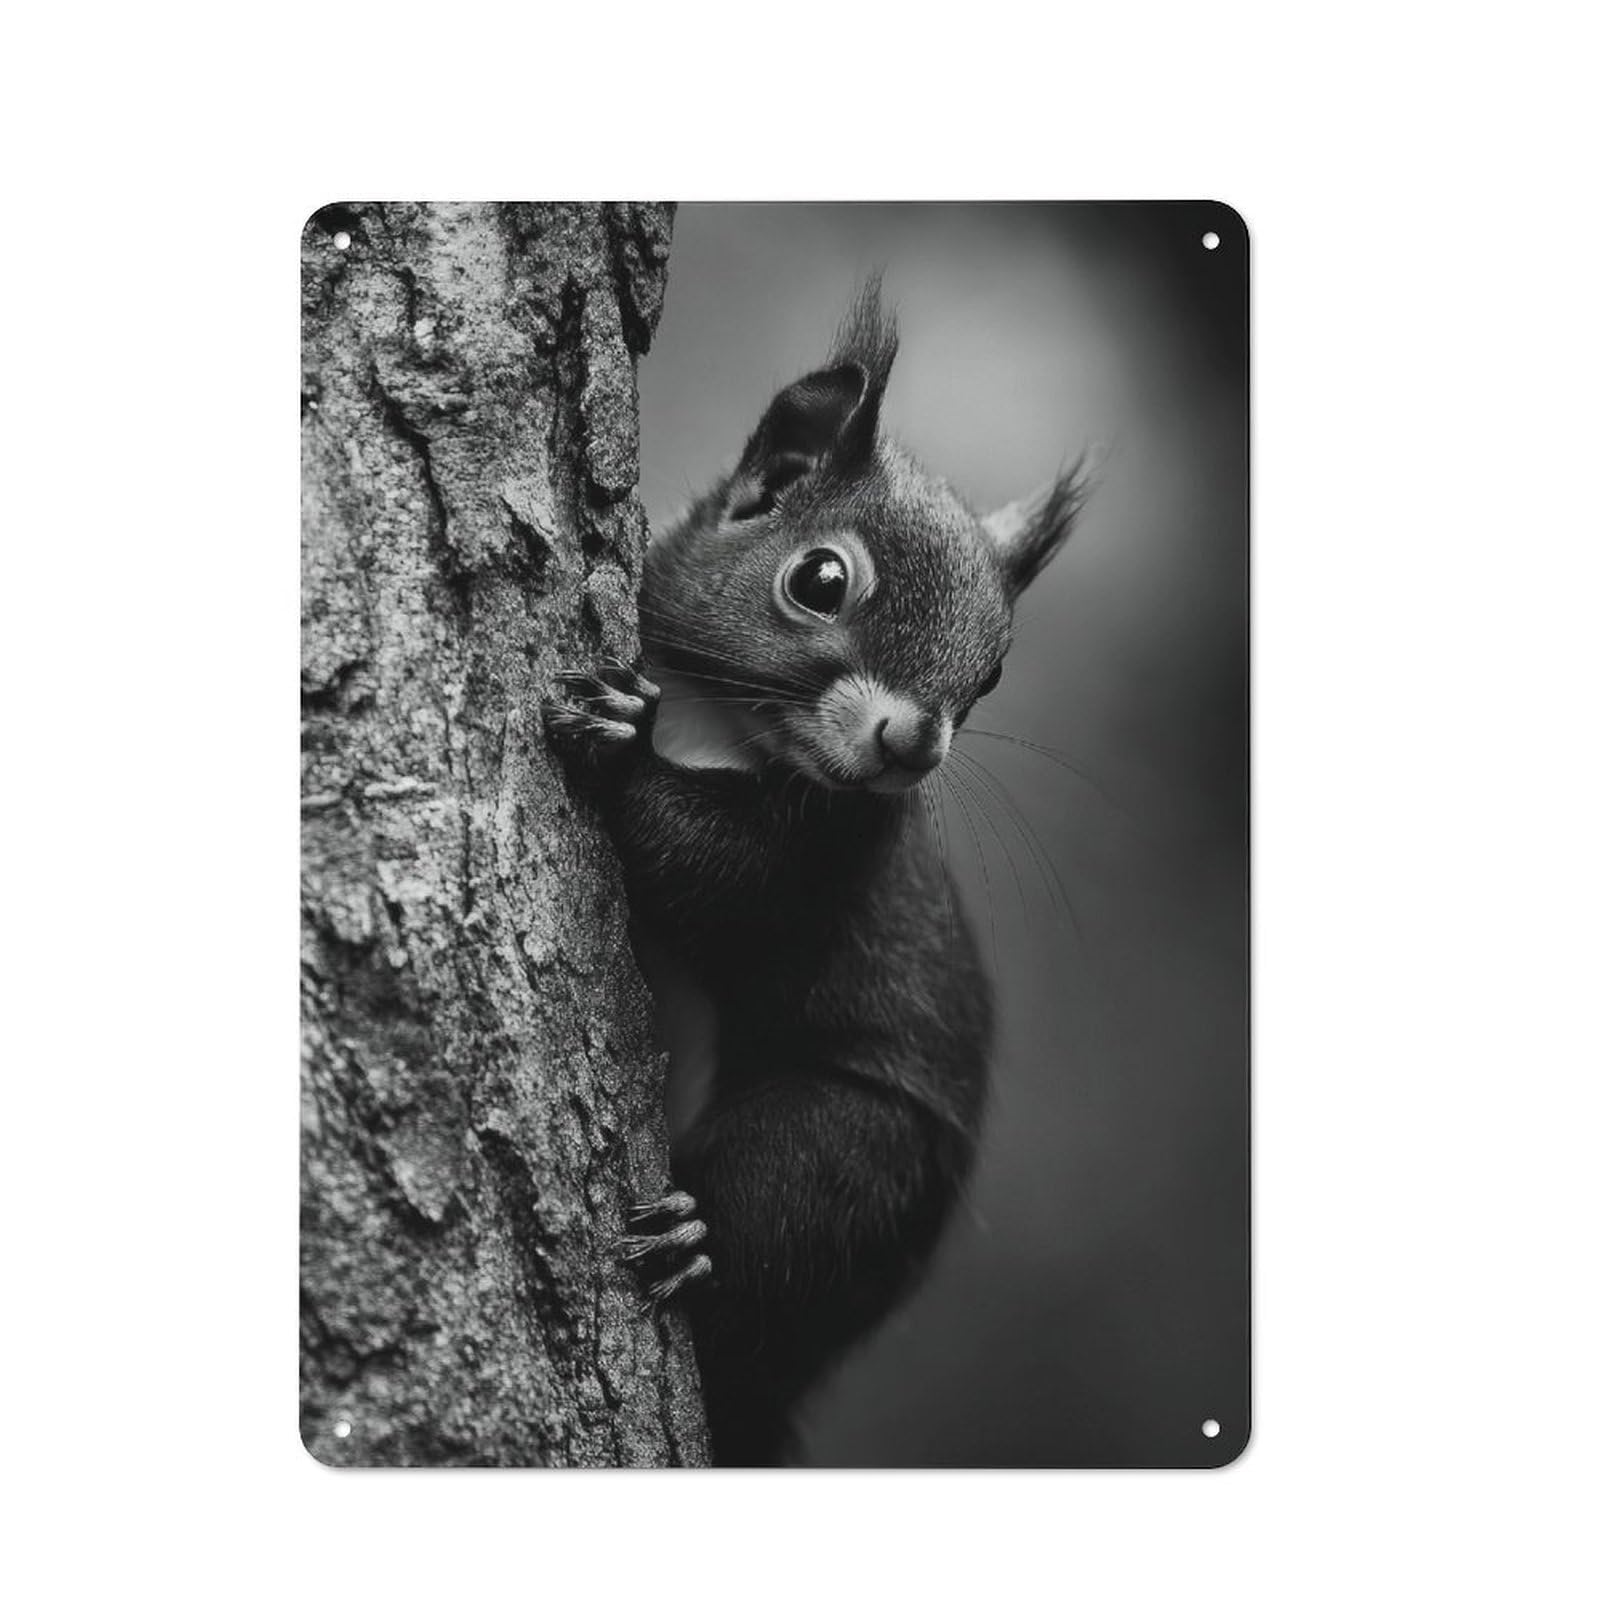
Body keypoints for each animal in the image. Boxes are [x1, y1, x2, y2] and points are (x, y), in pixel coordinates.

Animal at [543, 283, 1089, 1465]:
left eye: (993, 673)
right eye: (820, 579)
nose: (911, 744)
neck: (722, 718)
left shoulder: (835, 848)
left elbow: (708, 870)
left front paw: (616, 749)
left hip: (856, 1158)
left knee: (777, 1222)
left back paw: (695, 1238)